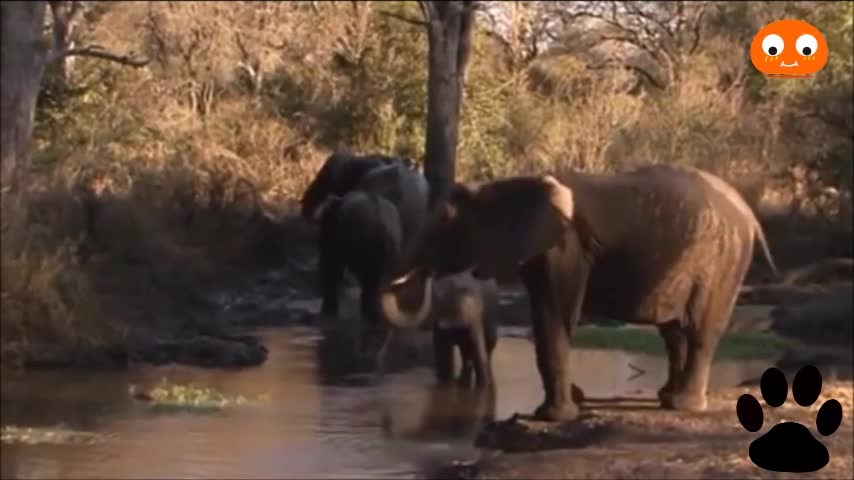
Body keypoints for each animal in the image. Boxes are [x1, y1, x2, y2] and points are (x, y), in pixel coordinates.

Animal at [382, 164, 784, 420]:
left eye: (445, 225)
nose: (427, 275)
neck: (507, 185)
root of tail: (751, 215)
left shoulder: (566, 249)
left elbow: (554, 317)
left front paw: (553, 416)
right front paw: (563, 406)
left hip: (723, 261)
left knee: (699, 329)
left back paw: (685, 406)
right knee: (673, 331)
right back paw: (667, 399)